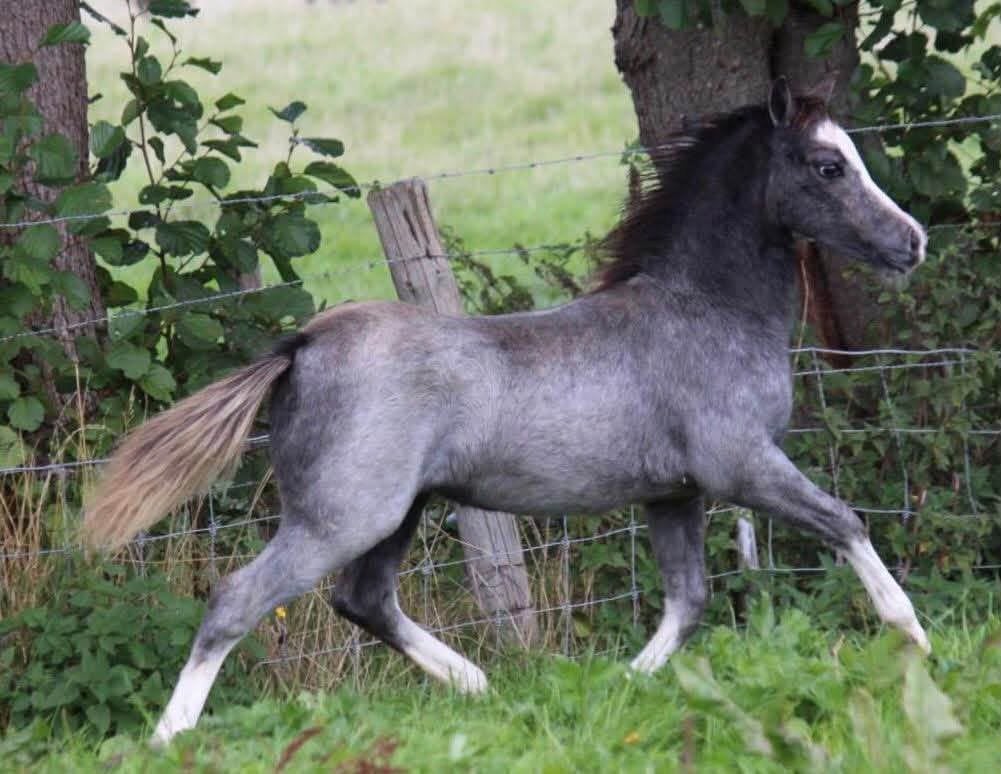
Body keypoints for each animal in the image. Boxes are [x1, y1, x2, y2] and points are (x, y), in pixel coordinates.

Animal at [84, 78, 930, 745]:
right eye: (827, 166)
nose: (912, 243)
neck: (705, 311)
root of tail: (305, 344)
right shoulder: (743, 467)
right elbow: (845, 522)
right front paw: (914, 644)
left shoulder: (674, 494)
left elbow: (686, 603)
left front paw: (619, 687)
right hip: (343, 516)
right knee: (238, 600)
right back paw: (169, 738)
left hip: (399, 513)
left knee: (362, 600)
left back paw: (478, 686)